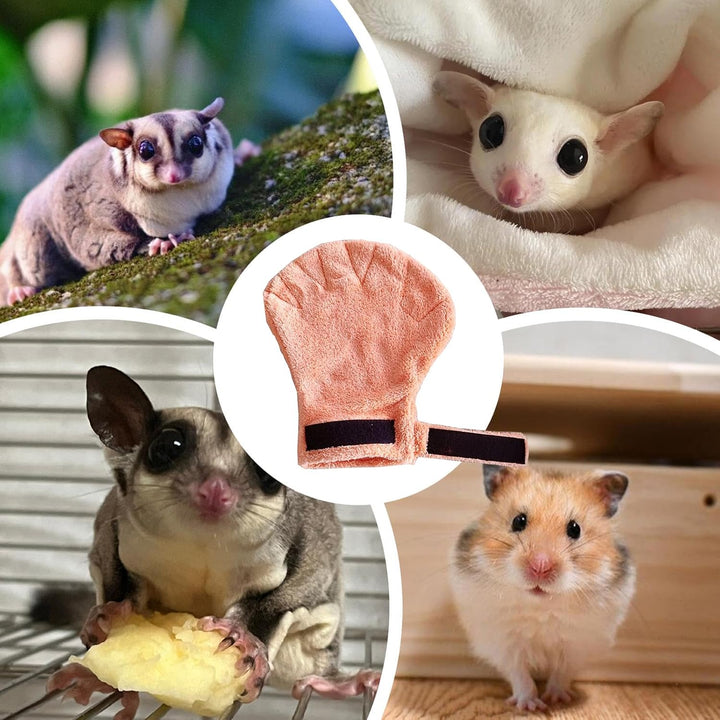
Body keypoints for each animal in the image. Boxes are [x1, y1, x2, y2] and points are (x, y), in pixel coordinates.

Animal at [0, 98, 235, 306]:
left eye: (196, 144)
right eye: (145, 150)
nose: (174, 175)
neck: (182, 195)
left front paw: (242, 153)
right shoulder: (97, 211)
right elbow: (92, 247)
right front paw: (162, 242)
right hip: (32, 240)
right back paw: (20, 290)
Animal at [48, 366, 378, 719]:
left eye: (266, 473)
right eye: (167, 446)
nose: (217, 489)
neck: (200, 547)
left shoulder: (308, 543)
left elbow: (292, 592)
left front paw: (242, 636)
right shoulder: (111, 523)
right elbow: (113, 573)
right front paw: (110, 615)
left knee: (308, 673)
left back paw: (341, 682)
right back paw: (94, 679)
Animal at [450, 465, 635, 712]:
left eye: (575, 529)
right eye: (518, 521)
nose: (540, 566)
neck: (540, 606)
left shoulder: (576, 645)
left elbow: (561, 674)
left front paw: (556, 700)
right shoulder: (505, 643)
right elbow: (521, 676)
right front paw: (530, 706)